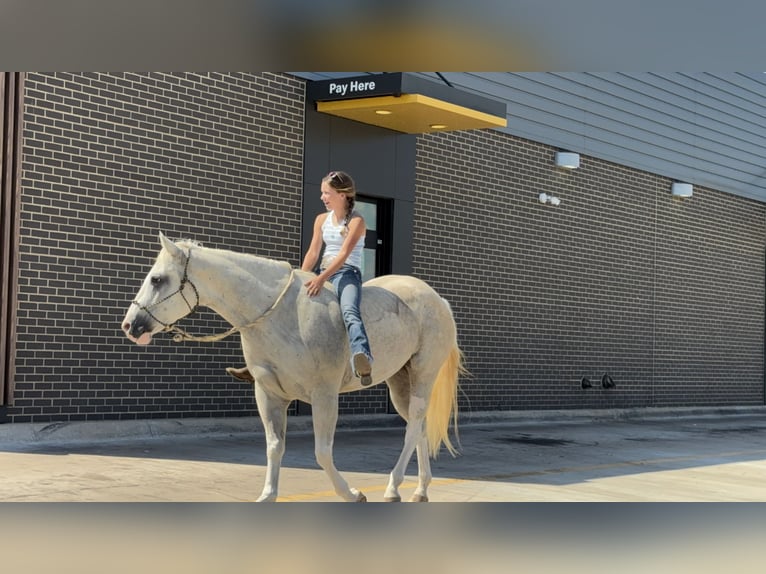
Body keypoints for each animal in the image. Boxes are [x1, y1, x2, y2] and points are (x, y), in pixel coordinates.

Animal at [121, 232, 465, 502]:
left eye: (157, 279)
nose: (130, 326)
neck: (280, 315)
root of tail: (439, 300)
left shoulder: (324, 396)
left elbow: (322, 452)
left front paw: (352, 493)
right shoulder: (269, 395)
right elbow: (274, 446)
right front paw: (267, 495)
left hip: (423, 373)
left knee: (414, 424)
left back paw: (393, 487)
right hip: (398, 380)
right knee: (419, 426)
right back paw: (420, 489)